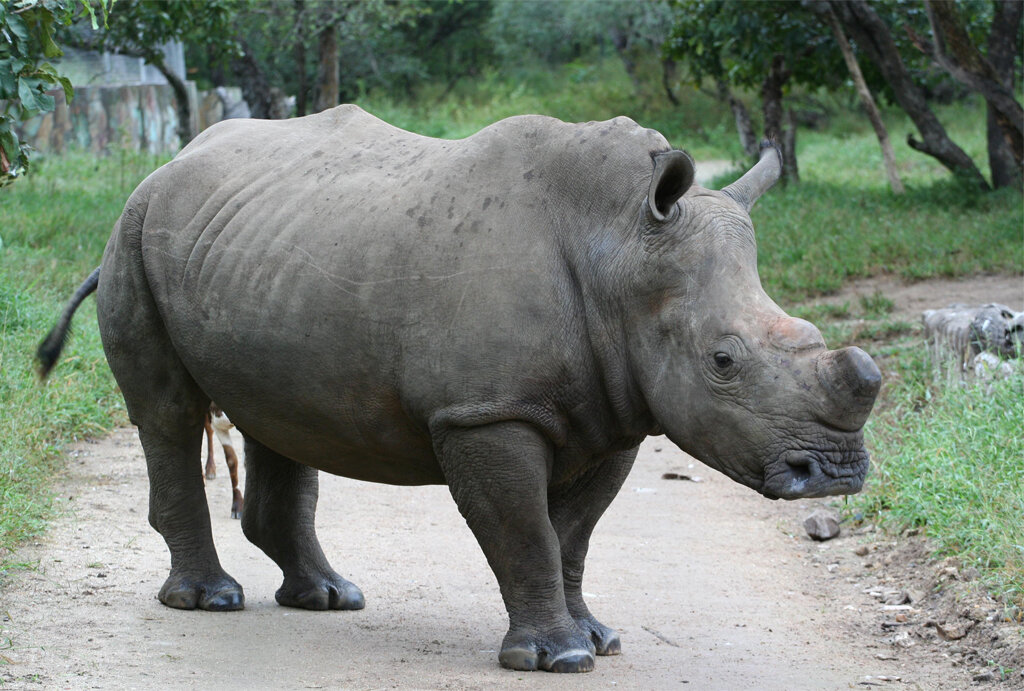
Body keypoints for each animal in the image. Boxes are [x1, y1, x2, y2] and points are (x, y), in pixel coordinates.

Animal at [39, 105, 880, 673]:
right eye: (723, 360)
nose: (833, 474)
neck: (618, 246)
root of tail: (166, 166)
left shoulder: (618, 411)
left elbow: (573, 535)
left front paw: (596, 638)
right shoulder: (486, 412)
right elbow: (524, 529)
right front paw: (556, 657)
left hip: (255, 245)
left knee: (278, 415)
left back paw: (330, 596)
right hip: (133, 233)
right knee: (170, 414)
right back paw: (210, 599)